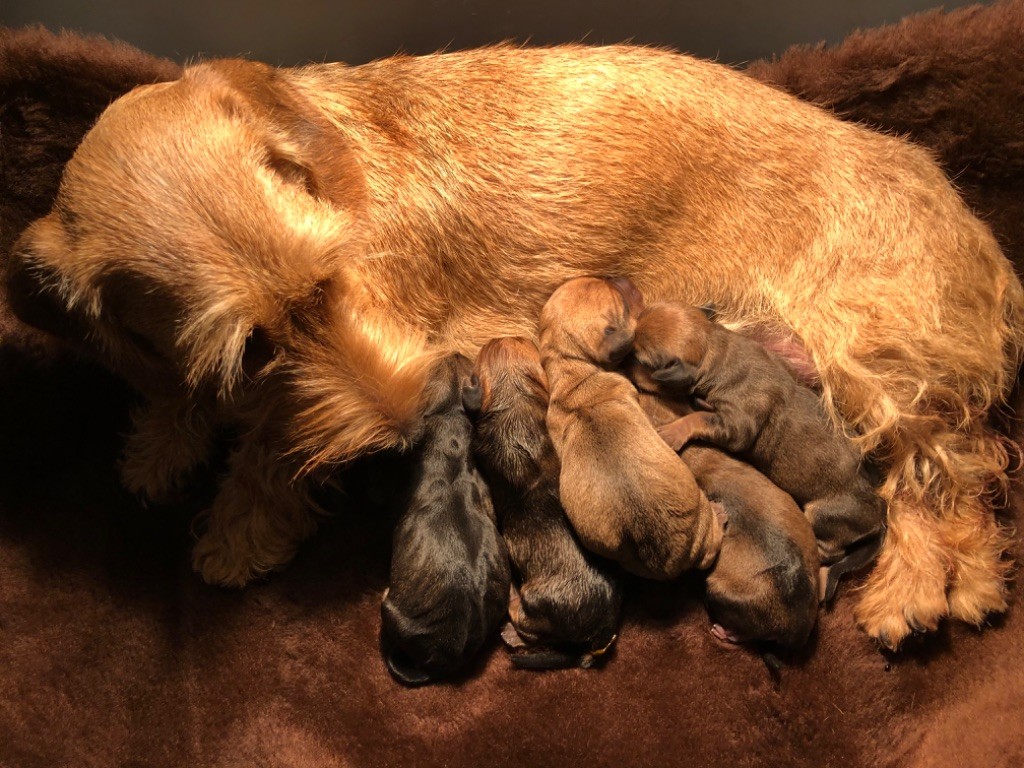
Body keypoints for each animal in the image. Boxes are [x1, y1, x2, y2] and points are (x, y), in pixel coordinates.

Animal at [626, 303, 884, 602]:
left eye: (638, 358)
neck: (716, 349)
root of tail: (879, 513)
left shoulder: (735, 424)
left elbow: (701, 417)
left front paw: (674, 430)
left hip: (823, 515)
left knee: (831, 550)